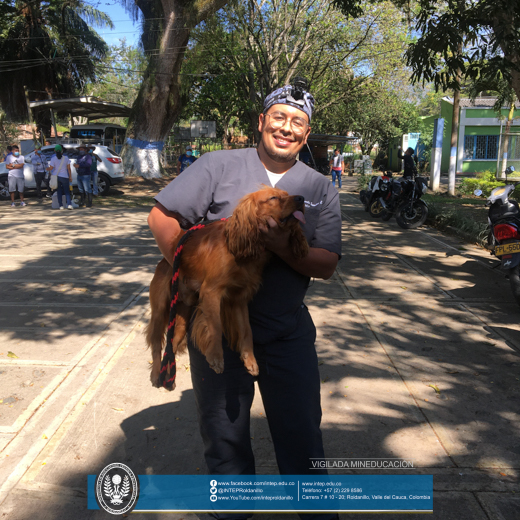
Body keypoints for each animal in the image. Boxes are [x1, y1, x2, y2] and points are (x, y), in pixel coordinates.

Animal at [145, 185, 308, 388]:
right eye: (273, 198)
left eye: (288, 194)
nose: (302, 198)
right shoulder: (211, 291)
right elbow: (216, 326)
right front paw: (216, 357)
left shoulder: (239, 299)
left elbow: (247, 331)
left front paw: (250, 361)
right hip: (161, 309)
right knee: (157, 343)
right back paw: (156, 374)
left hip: (182, 315)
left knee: (172, 344)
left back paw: (168, 378)